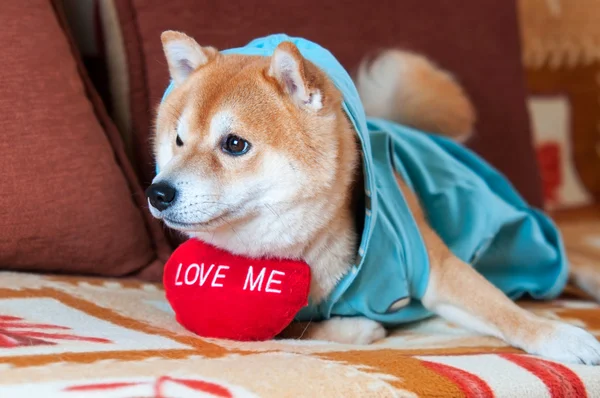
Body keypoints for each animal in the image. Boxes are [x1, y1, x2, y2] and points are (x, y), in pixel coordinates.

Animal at [146, 32, 600, 366]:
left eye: (235, 144)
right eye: (179, 140)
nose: (158, 192)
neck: (306, 249)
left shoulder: (435, 269)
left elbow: (503, 311)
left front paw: (562, 337)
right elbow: (294, 328)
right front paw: (357, 328)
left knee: (571, 261)